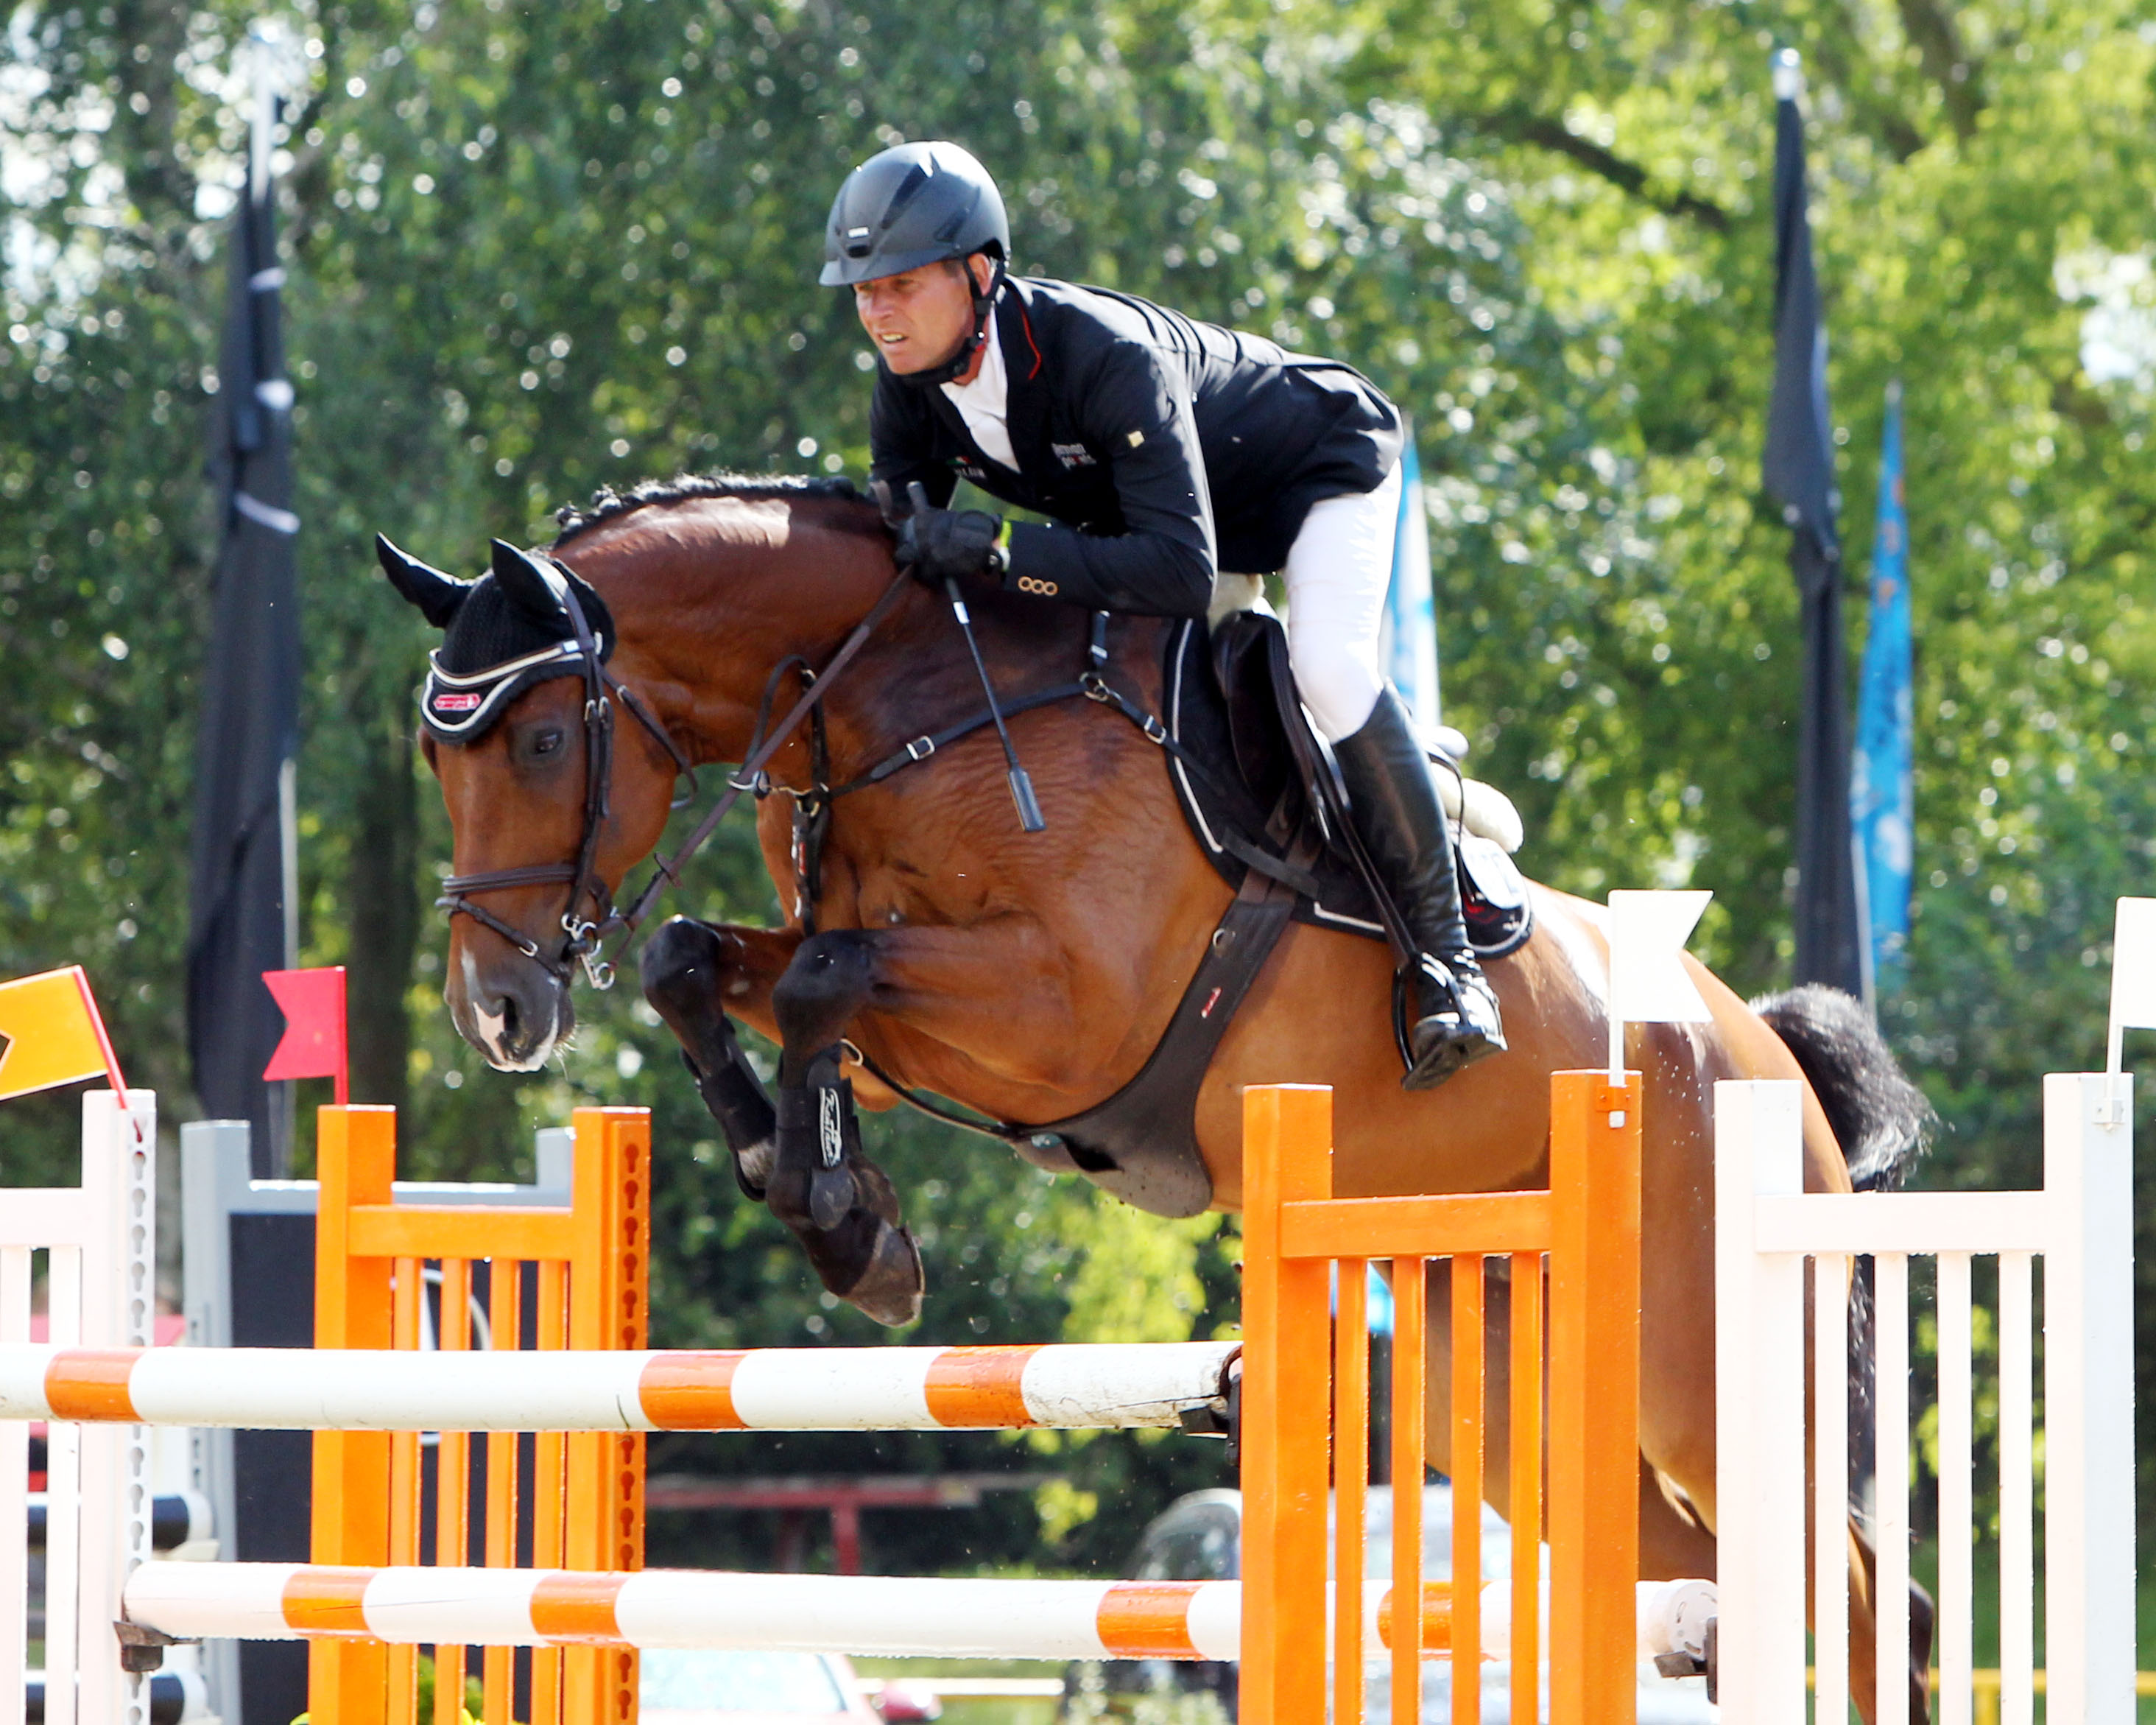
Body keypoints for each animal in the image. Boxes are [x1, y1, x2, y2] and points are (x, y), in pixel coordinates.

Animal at [384, 465, 1940, 1716]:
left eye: (538, 741)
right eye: (432, 755)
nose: (495, 1012)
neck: (908, 702)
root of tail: (1761, 1051)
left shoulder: (1068, 1008)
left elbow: (824, 974)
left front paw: (840, 1217)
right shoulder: (917, 1025)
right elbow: (702, 963)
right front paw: (831, 1199)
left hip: (1700, 1356)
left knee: (1858, 1582)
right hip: (1499, 1374)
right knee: (1698, 1576)